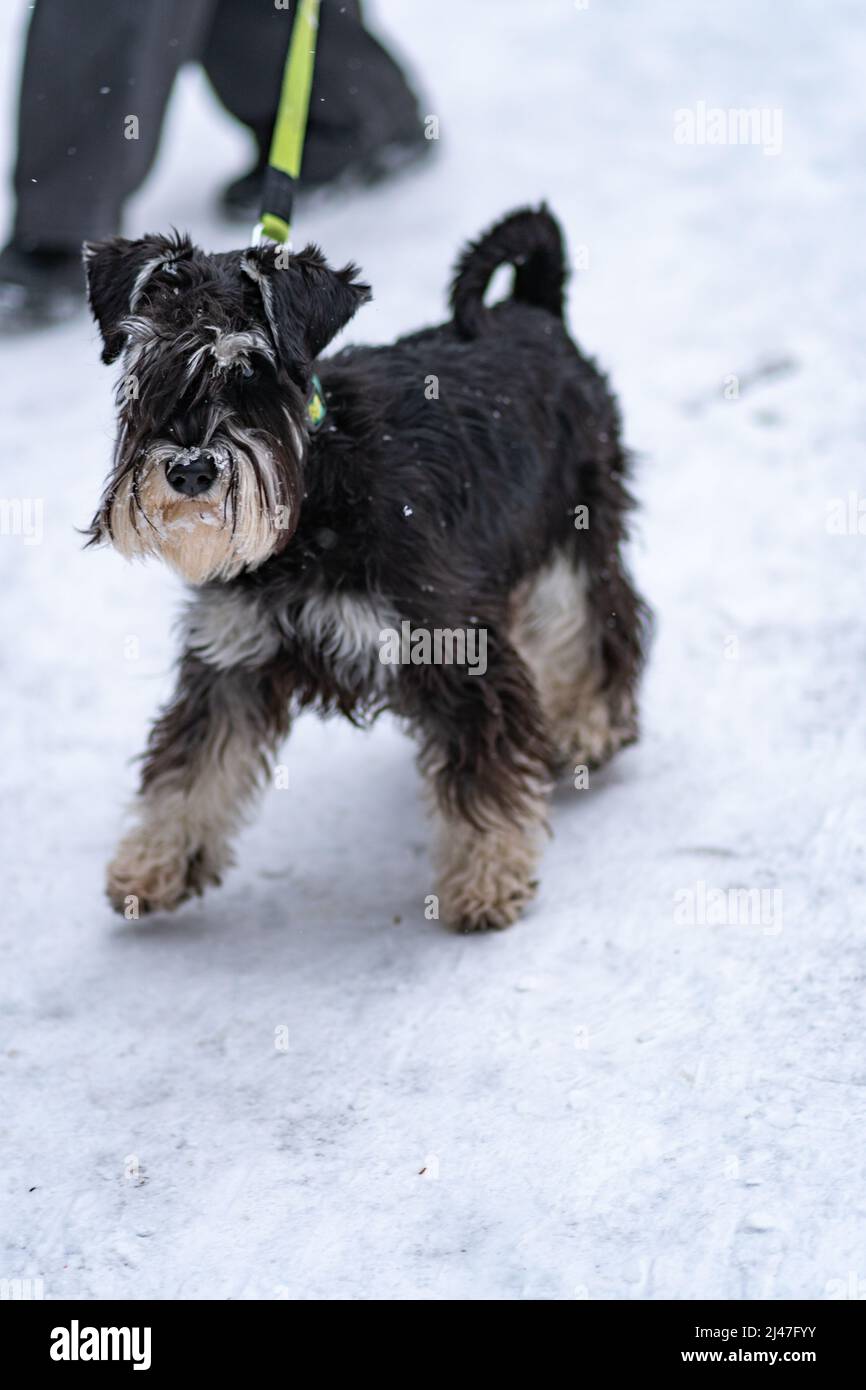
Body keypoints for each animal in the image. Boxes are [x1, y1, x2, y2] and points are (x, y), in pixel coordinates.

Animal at [84, 205, 647, 934]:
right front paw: (155, 862)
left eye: (251, 373)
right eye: (144, 367)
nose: (190, 470)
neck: (315, 489)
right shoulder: (233, 656)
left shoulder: (450, 643)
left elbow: (483, 771)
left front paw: (487, 878)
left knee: (593, 625)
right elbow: (191, 766)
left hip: (572, 536)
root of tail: (534, 310)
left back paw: (589, 724)